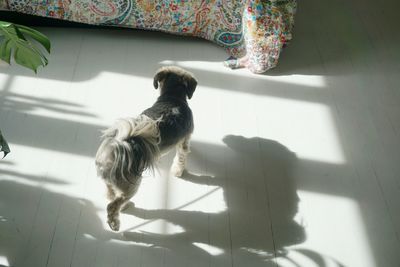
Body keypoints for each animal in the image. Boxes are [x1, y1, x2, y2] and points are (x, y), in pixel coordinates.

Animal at [95, 66, 198, 231]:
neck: (172, 97)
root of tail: (114, 151)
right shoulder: (184, 140)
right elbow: (181, 158)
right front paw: (178, 172)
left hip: (111, 181)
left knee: (111, 195)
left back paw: (123, 207)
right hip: (131, 184)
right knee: (113, 204)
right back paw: (115, 222)